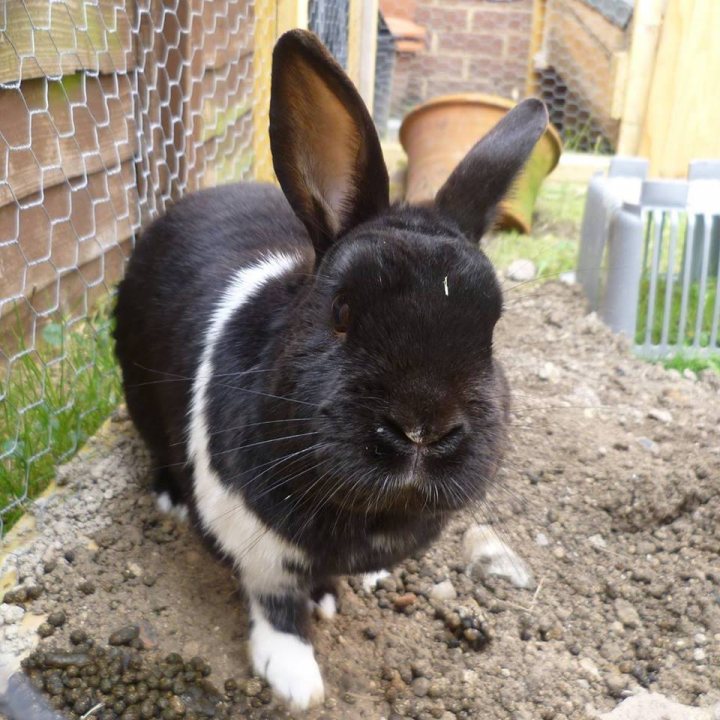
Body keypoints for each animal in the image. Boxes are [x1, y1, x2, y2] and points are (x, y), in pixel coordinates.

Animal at [115, 26, 548, 708]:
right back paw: (170, 499)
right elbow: (277, 607)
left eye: (493, 329)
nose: (423, 427)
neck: (366, 515)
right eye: (341, 312)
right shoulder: (258, 549)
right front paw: (295, 680)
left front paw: (350, 588)